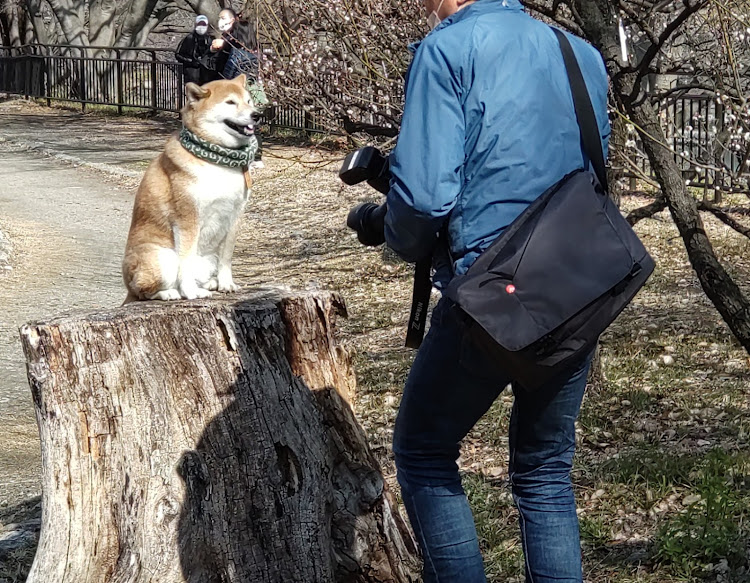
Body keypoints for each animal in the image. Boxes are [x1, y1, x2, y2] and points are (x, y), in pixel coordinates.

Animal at [123, 75, 258, 304]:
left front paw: (226, 283)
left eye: (248, 101)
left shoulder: (235, 215)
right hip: (162, 258)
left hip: (207, 258)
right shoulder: (188, 219)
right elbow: (185, 262)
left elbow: (226, 257)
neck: (218, 160)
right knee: (143, 292)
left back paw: (209, 283)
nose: (256, 115)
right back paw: (171, 292)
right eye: (230, 102)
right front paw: (190, 292)